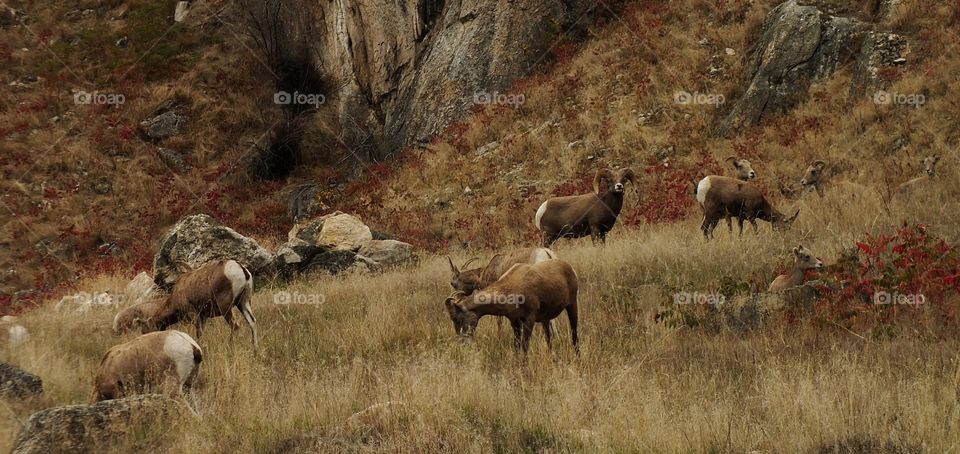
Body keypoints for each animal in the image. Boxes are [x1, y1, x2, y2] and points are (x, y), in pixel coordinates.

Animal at [113, 260, 258, 350]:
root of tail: (242, 270)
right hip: (243, 303)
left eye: (146, 329)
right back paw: (255, 349)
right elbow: (200, 334)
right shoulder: (203, 317)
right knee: (252, 322)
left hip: (226, 306)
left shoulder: (193, 315)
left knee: (235, 326)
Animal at [444, 259, 578, 353]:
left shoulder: (529, 319)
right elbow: (517, 347)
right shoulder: (514, 321)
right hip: (545, 319)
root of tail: (567, 266)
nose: (463, 343)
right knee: (549, 338)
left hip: (572, 306)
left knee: (575, 335)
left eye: (457, 318)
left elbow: (524, 347)